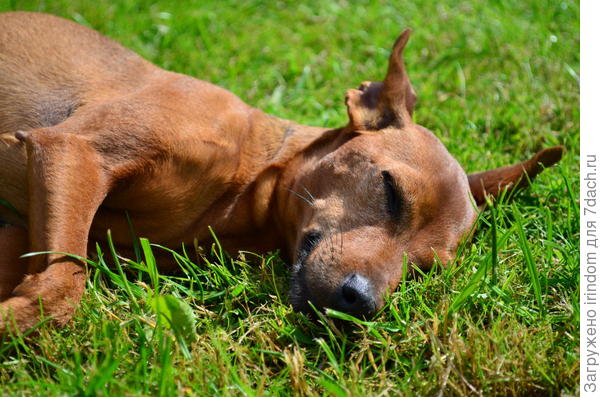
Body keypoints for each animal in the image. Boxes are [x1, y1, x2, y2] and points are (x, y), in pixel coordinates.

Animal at [0, 11, 564, 332]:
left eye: (428, 269)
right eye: (390, 190)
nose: (361, 305)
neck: (243, 184)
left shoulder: (24, 225)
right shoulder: (74, 150)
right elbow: (62, 288)